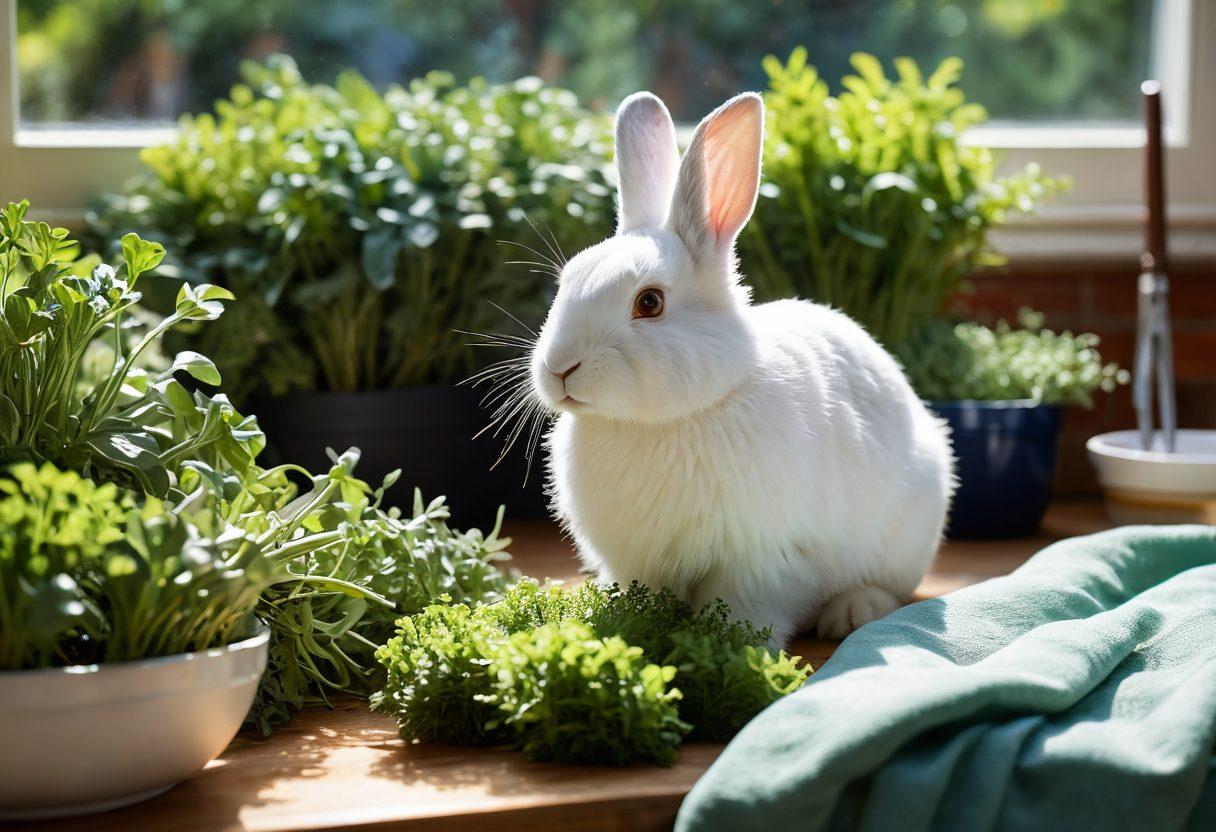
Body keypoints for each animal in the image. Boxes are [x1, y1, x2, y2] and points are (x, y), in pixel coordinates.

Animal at [528, 90, 955, 645]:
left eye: (649, 302)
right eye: (566, 282)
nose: (560, 367)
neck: (667, 420)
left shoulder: (760, 559)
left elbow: (742, 605)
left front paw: (733, 643)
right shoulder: (639, 563)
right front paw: (632, 625)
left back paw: (852, 612)